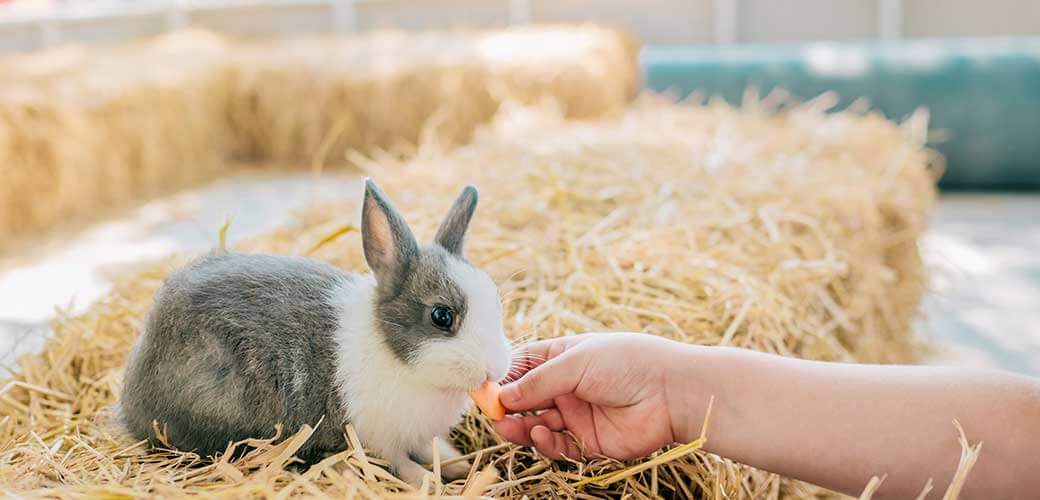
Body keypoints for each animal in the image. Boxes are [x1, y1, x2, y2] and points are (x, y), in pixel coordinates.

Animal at [121, 178, 511, 482]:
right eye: (442, 316)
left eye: (496, 300)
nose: (495, 369)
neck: (396, 357)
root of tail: (129, 405)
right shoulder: (378, 438)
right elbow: (404, 466)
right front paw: (428, 481)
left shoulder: (418, 437)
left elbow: (437, 451)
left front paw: (466, 468)